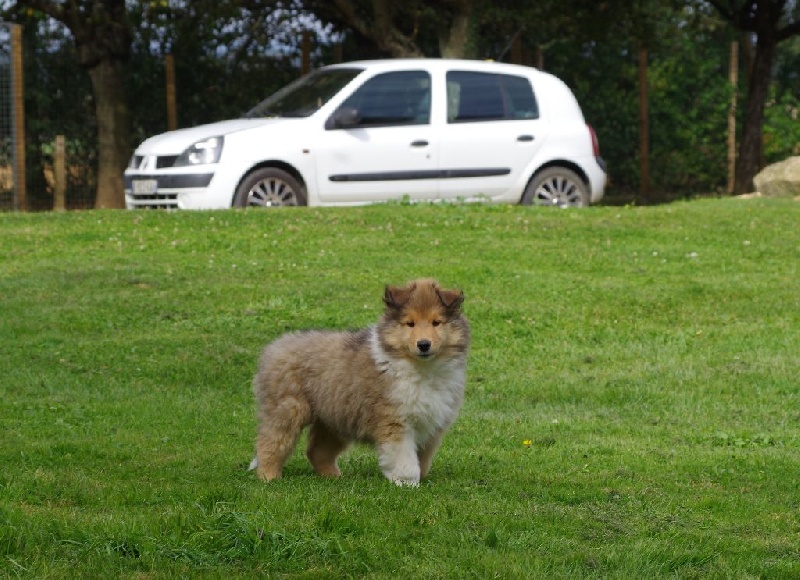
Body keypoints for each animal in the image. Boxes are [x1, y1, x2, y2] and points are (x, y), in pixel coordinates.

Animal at [250, 280, 468, 484]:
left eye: (436, 322)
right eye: (410, 323)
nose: (423, 344)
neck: (422, 368)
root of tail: (275, 346)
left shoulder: (433, 423)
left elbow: (422, 459)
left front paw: (420, 479)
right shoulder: (395, 422)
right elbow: (405, 460)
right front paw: (406, 484)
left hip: (334, 417)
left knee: (317, 451)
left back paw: (334, 477)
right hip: (287, 410)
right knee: (270, 444)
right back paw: (269, 477)